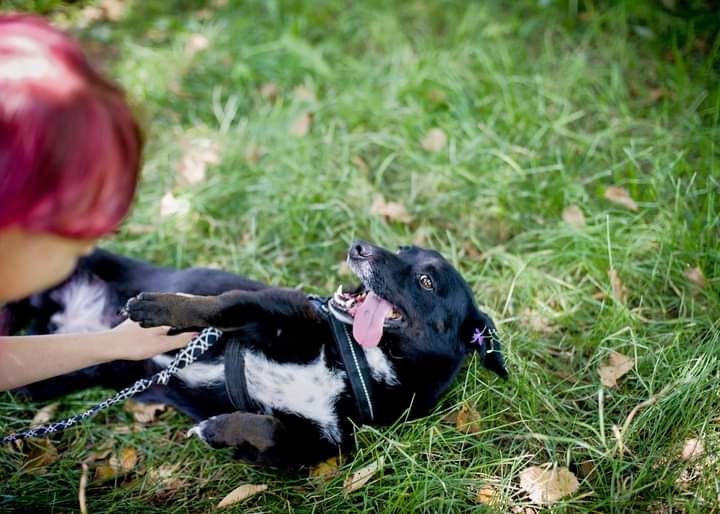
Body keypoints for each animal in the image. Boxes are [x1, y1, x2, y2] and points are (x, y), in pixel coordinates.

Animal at [7, 239, 512, 464]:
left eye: (425, 280)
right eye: (403, 247)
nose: (359, 247)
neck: (356, 363)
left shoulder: (316, 446)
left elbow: (270, 433)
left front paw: (216, 431)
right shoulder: (281, 309)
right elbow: (225, 304)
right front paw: (160, 308)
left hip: (44, 377)